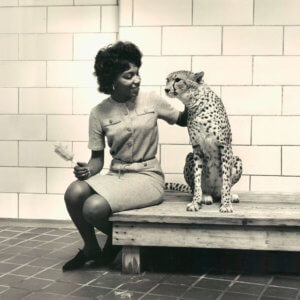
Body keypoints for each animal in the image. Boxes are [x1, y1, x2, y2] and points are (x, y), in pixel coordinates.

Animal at [165, 70, 243, 212]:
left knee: (223, 188)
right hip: (189, 157)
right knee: (195, 188)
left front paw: (226, 203)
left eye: (177, 79)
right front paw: (195, 202)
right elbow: (197, 179)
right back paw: (205, 196)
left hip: (237, 159)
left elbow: (226, 179)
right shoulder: (196, 148)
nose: (166, 89)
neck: (195, 102)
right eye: (167, 80)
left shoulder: (224, 145)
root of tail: (214, 192)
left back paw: (229, 196)